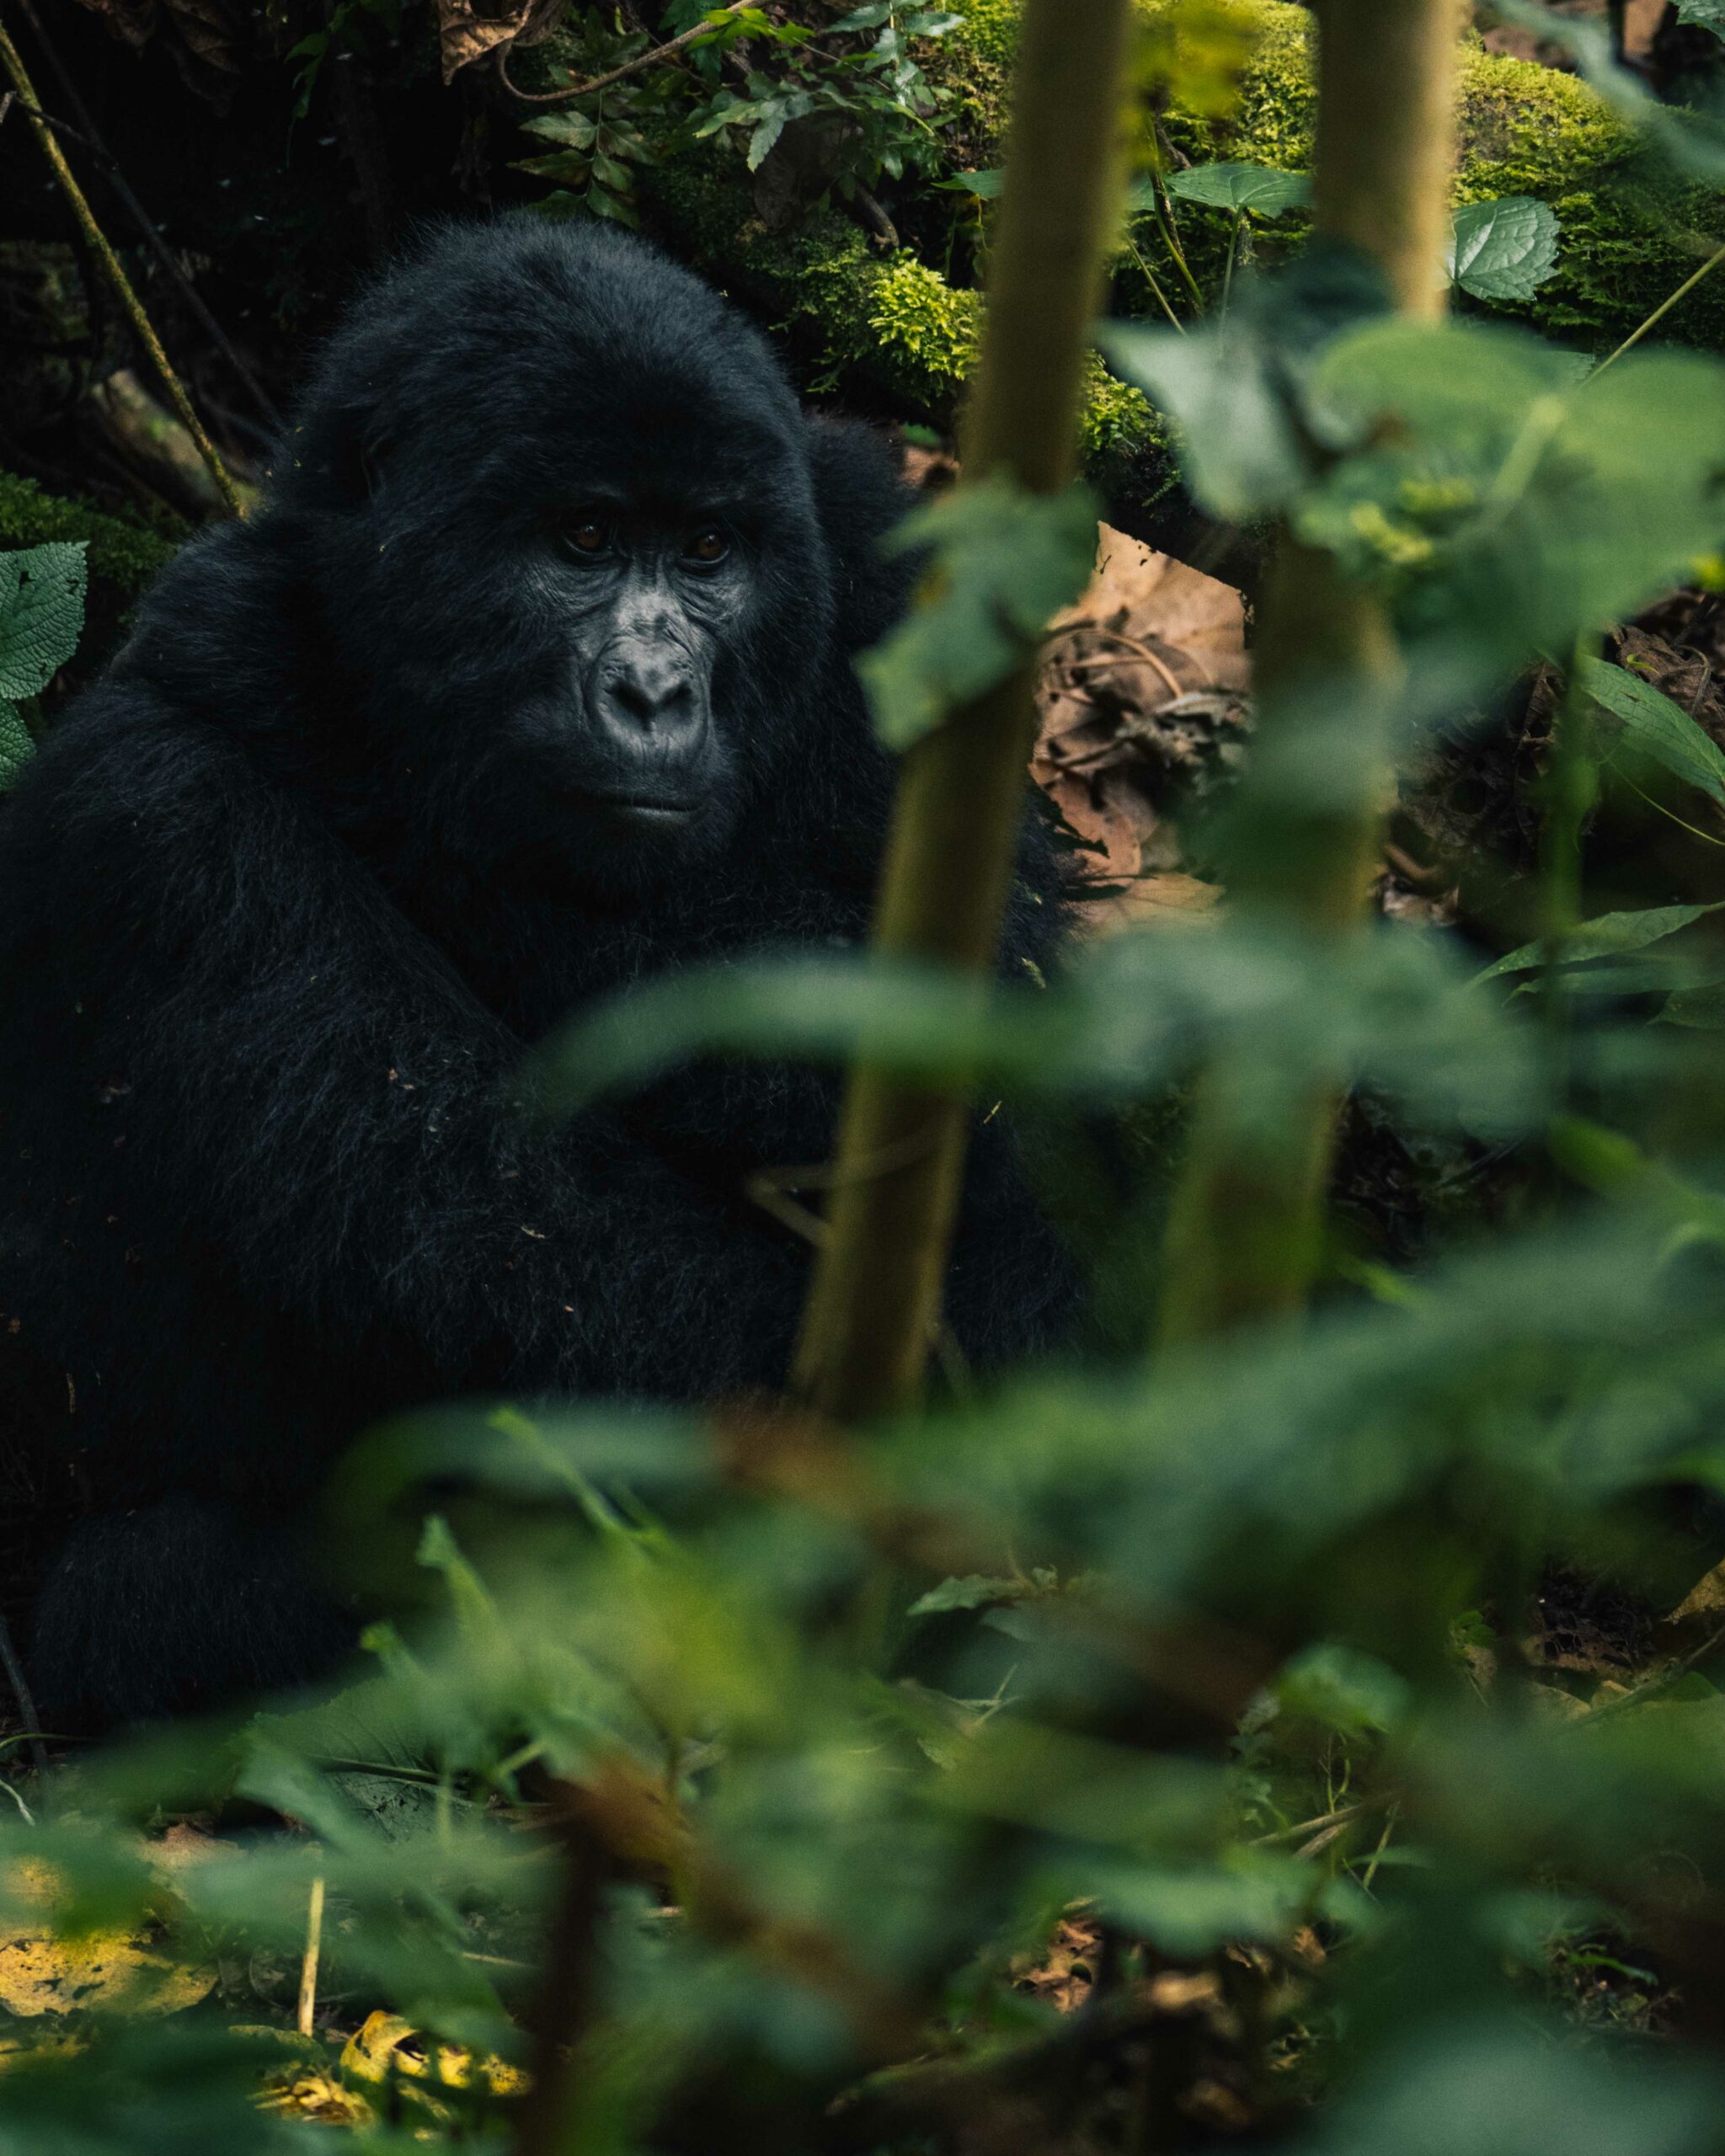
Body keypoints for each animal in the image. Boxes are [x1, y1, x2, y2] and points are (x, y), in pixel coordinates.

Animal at [0, 214, 1078, 1733]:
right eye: (581, 540)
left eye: (707, 551)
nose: (654, 695)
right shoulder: (145, 815)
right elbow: (534, 1261)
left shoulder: (879, 568)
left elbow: (993, 1046)